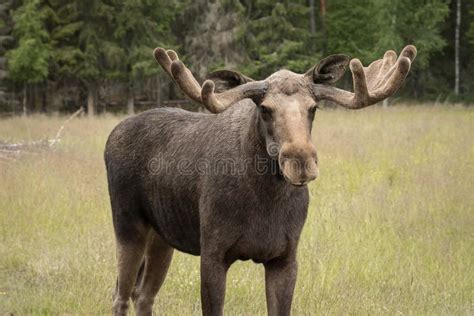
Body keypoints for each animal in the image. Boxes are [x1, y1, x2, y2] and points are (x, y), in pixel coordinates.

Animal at [103, 43, 414, 314]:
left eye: (313, 108)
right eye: (265, 108)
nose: (300, 161)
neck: (265, 199)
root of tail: (112, 135)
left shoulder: (285, 257)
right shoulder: (212, 253)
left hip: (162, 236)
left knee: (143, 295)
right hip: (128, 224)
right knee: (120, 296)